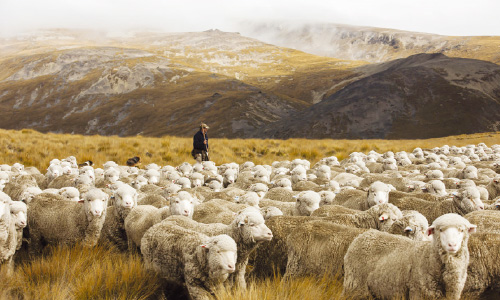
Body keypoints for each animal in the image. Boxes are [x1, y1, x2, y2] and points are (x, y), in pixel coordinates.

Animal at [344, 213, 476, 300]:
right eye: (440, 230)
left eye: (462, 230)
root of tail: (364, 235)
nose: (452, 245)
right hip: (355, 285)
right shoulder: (417, 292)